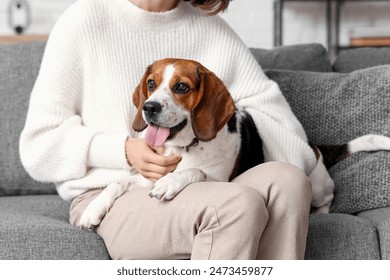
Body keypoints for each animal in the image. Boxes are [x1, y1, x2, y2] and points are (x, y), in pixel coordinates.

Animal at [78, 58, 390, 229]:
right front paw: (93, 208)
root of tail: (314, 146)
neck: (186, 147)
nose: (149, 107)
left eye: (181, 87)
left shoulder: (218, 178)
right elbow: (117, 183)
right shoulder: (146, 176)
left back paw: (320, 213)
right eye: (152, 84)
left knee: (327, 197)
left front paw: (172, 182)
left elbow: (194, 171)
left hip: (319, 185)